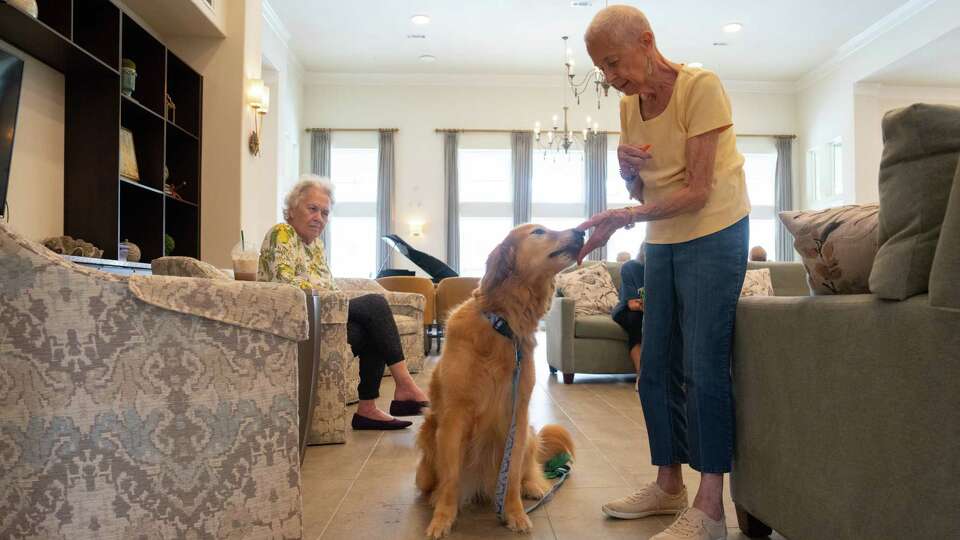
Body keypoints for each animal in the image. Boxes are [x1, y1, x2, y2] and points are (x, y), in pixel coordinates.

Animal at [416, 223, 580, 536]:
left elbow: (512, 475)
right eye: (538, 232)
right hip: (427, 443)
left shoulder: (517, 415)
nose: (581, 233)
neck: (502, 326)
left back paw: (534, 487)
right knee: (432, 482)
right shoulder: (454, 417)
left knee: (528, 470)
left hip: (529, 432)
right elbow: (450, 478)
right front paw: (443, 517)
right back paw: (433, 497)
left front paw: (514, 513)